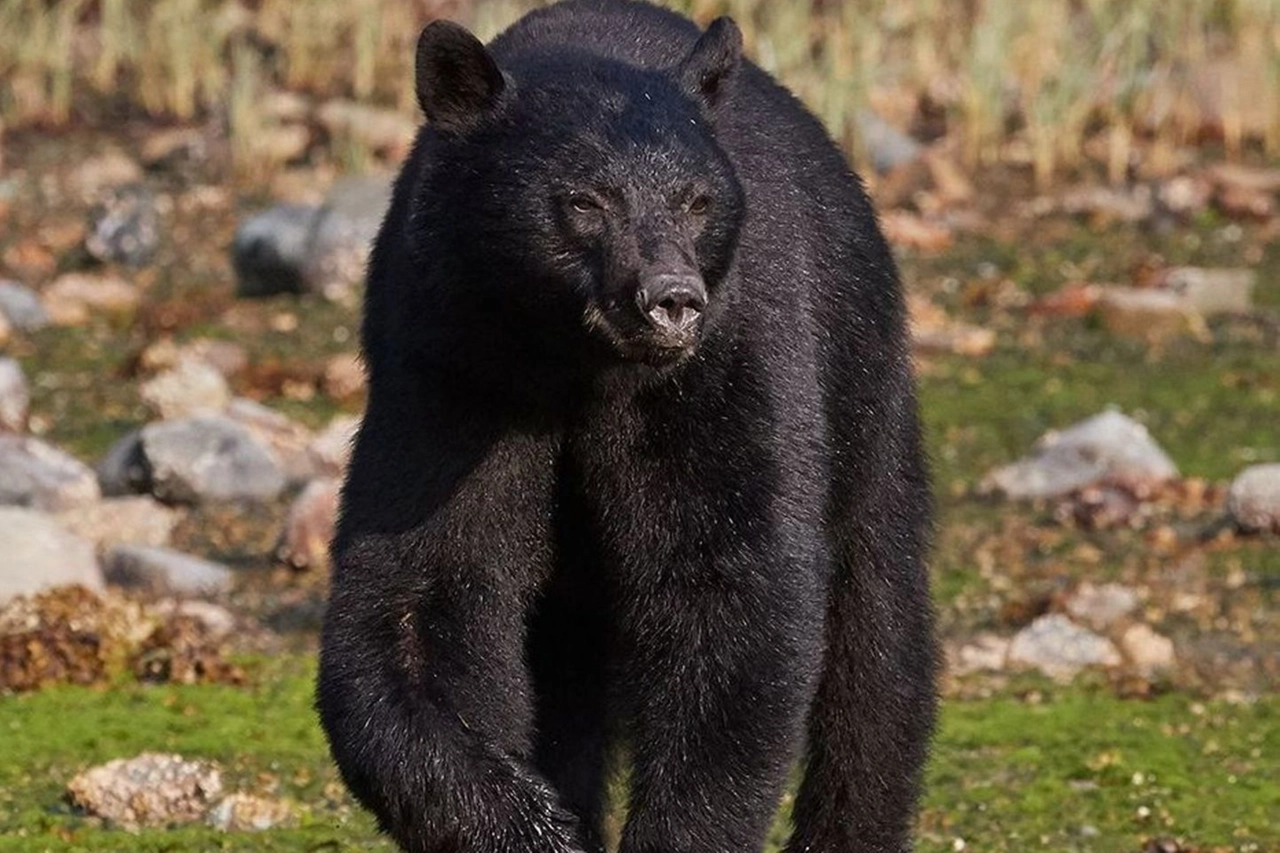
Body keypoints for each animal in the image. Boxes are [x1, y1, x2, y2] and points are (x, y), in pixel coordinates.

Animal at [317, 1, 942, 850]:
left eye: (695, 201)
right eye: (586, 200)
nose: (670, 298)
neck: (573, 362)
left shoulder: (721, 363)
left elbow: (728, 583)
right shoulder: (448, 364)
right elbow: (418, 591)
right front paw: (534, 821)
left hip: (861, 380)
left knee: (876, 632)